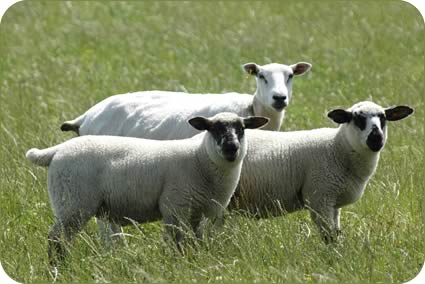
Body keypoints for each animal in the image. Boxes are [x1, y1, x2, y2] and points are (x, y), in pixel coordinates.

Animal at [24, 112, 268, 262]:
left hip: (70, 204)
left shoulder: (197, 212)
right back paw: (60, 268)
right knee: (56, 239)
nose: (231, 148)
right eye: (212, 129)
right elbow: (176, 242)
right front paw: (177, 263)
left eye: (242, 128)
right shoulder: (174, 207)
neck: (200, 160)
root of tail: (57, 151)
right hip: (72, 203)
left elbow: (197, 240)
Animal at [225, 101, 414, 241]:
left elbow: (337, 231)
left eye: (383, 118)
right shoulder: (319, 197)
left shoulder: (333, 202)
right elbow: (329, 236)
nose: (376, 138)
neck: (337, 148)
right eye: (356, 118)